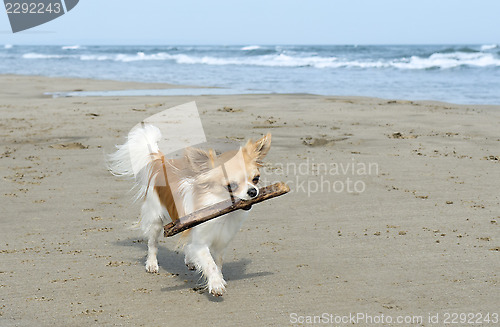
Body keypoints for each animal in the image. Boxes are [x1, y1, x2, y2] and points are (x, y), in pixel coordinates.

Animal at [108, 123, 272, 298]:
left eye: (256, 179)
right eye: (231, 186)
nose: (253, 191)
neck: (221, 210)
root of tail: (161, 161)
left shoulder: (221, 243)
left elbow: (217, 262)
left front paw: (219, 278)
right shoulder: (200, 242)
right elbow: (209, 263)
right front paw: (216, 284)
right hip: (155, 219)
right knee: (152, 243)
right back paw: (152, 264)